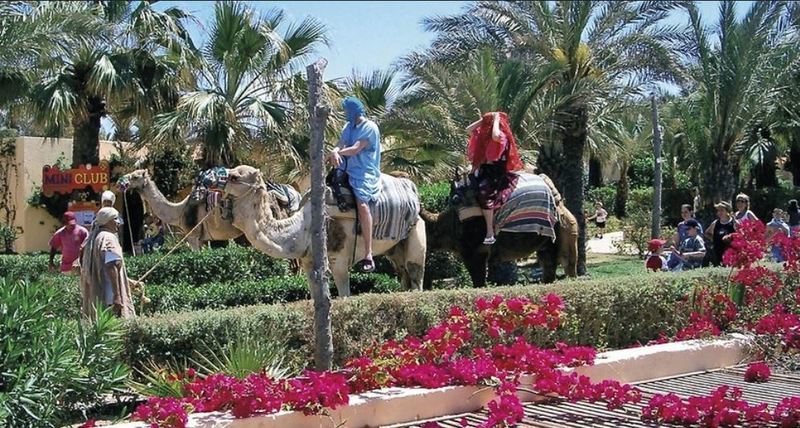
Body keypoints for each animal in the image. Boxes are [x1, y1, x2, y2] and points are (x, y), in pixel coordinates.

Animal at [203, 166, 428, 296]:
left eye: (234, 177)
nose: (205, 177)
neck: (302, 228)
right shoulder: (309, 262)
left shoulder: (338, 259)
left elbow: (344, 296)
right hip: (395, 248)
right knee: (403, 274)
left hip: (416, 230)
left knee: (415, 274)